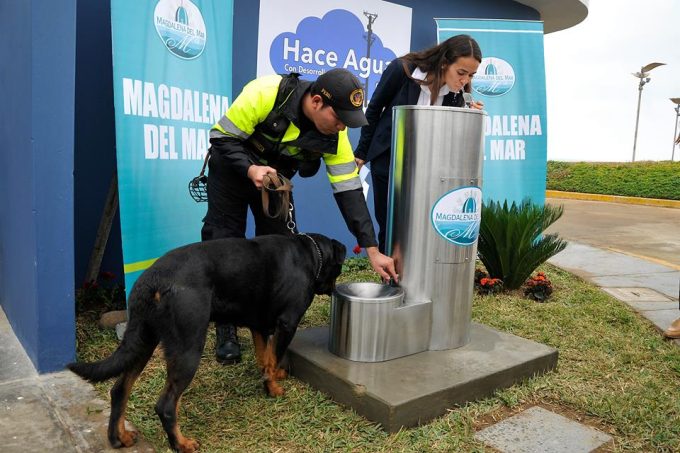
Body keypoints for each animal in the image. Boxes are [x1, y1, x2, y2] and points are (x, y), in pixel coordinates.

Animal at [67, 233, 346, 452]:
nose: (334, 290)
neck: (310, 254)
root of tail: (152, 279)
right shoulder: (287, 323)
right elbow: (275, 354)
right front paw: (274, 389)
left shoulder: (258, 324)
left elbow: (265, 356)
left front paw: (270, 378)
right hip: (188, 346)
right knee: (165, 404)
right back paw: (182, 444)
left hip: (142, 339)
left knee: (120, 389)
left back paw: (119, 437)